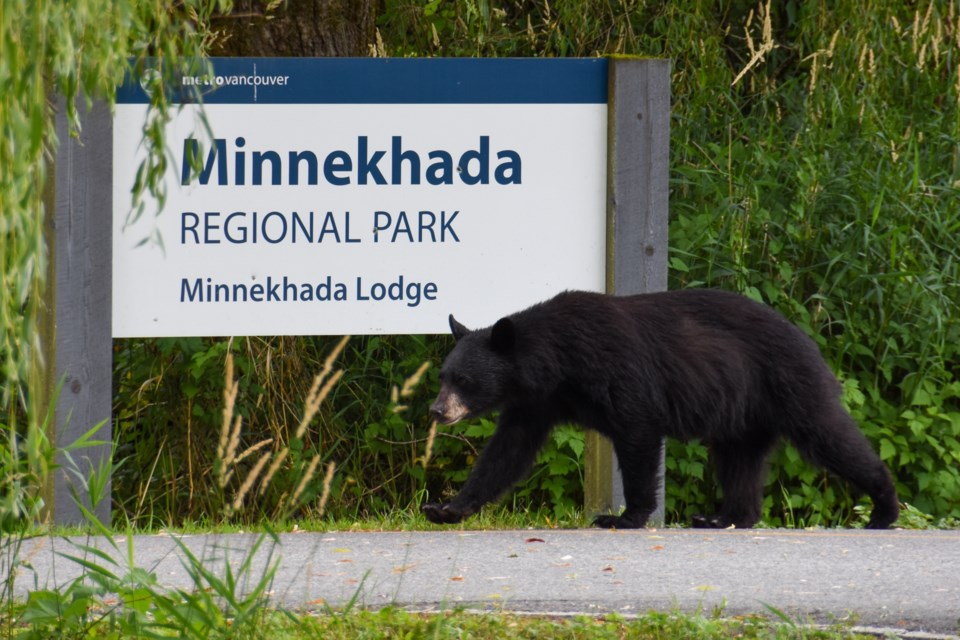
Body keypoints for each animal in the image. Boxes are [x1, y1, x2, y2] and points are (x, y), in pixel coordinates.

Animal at [422, 290, 900, 528]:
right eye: (444, 376)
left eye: (464, 381)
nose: (436, 410)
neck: (556, 363)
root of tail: (808, 339)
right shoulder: (536, 402)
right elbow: (505, 454)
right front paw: (447, 509)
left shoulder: (616, 369)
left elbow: (637, 432)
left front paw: (624, 517)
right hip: (743, 415)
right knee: (739, 461)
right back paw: (723, 517)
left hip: (787, 385)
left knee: (828, 435)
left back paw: (884, 508)